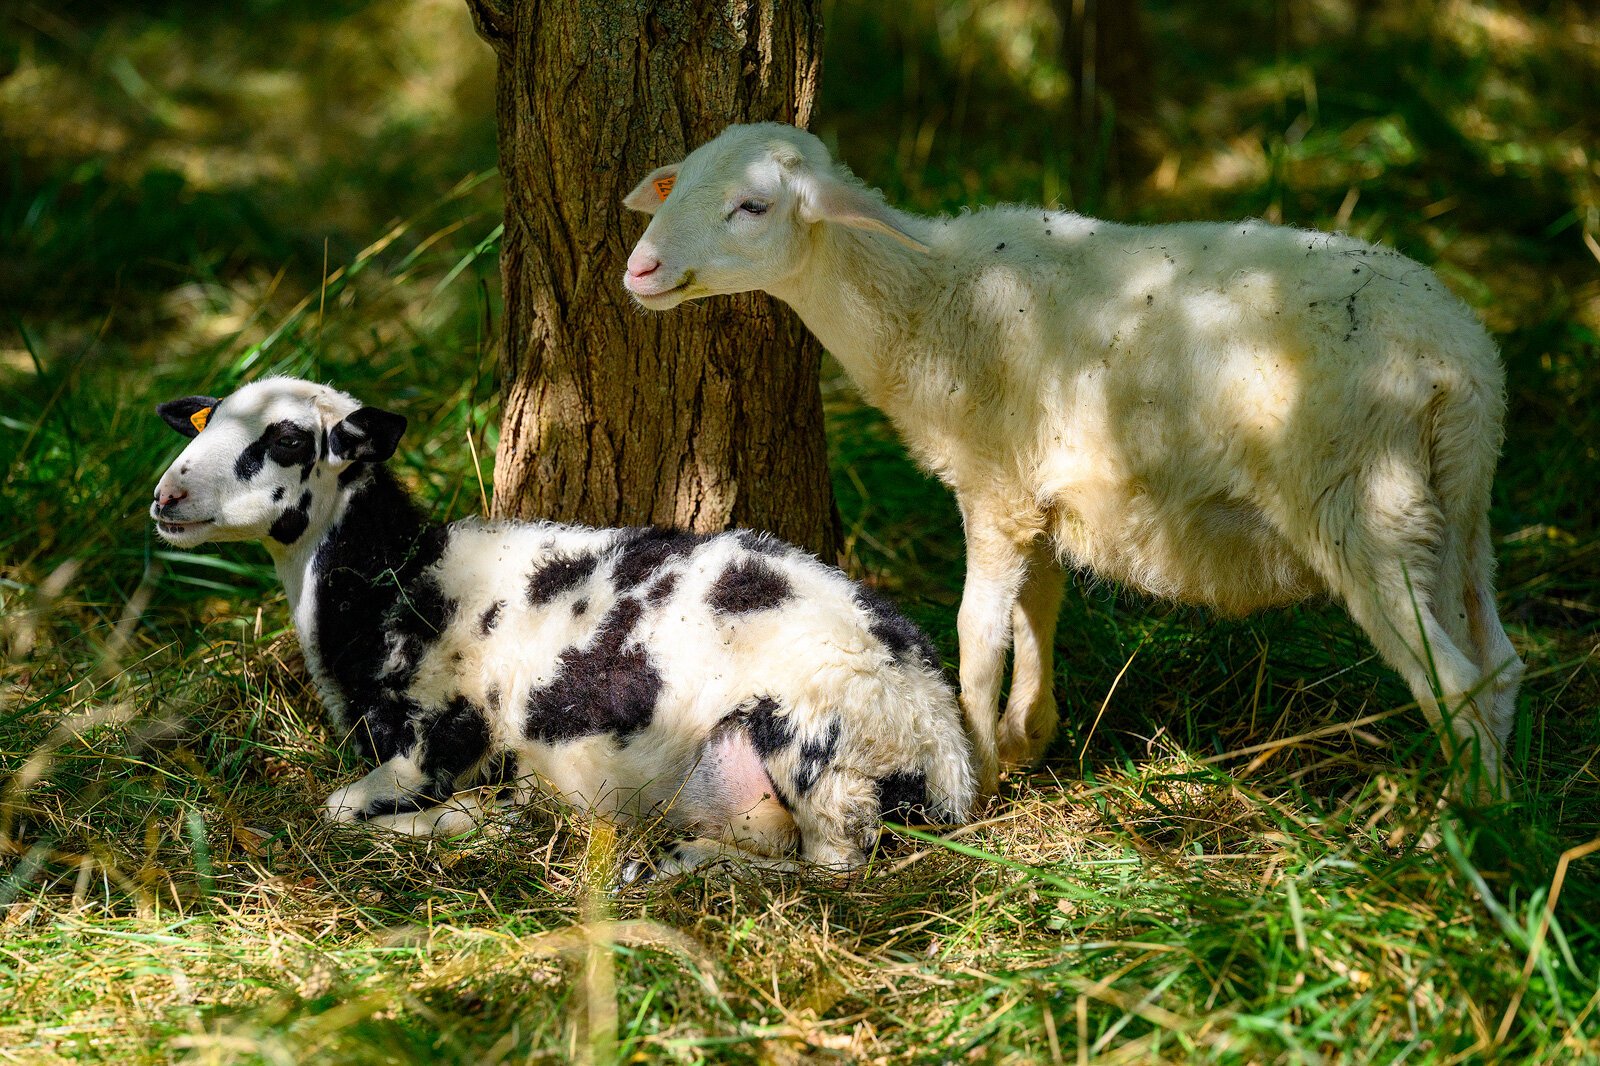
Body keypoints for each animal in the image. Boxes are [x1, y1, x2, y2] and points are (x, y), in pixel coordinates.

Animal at [149, 376, 974, 879]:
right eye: (207, 421)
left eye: (287, 441)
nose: (166, 497)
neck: (396, 576)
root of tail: (949, 755)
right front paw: (496, 817)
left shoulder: (439, 740)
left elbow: (343, 809)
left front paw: (473, 821)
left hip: (819, 753)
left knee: (832, 867)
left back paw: (675, 865)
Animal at [621, 122, 1523, 804]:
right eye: (677, 184)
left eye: (752, 205)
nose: (640, 268)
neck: (927, 302)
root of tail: (1459, 363)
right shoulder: (1041, 492)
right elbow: (1039, 609)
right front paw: (1028, 732)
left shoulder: (994, 487)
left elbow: (979, 632)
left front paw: (979, 769)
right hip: (1456, 509)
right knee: (1500, 663)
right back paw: (1506, 815)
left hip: (1362, 503)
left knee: (1454, 678)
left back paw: (1461, 833)